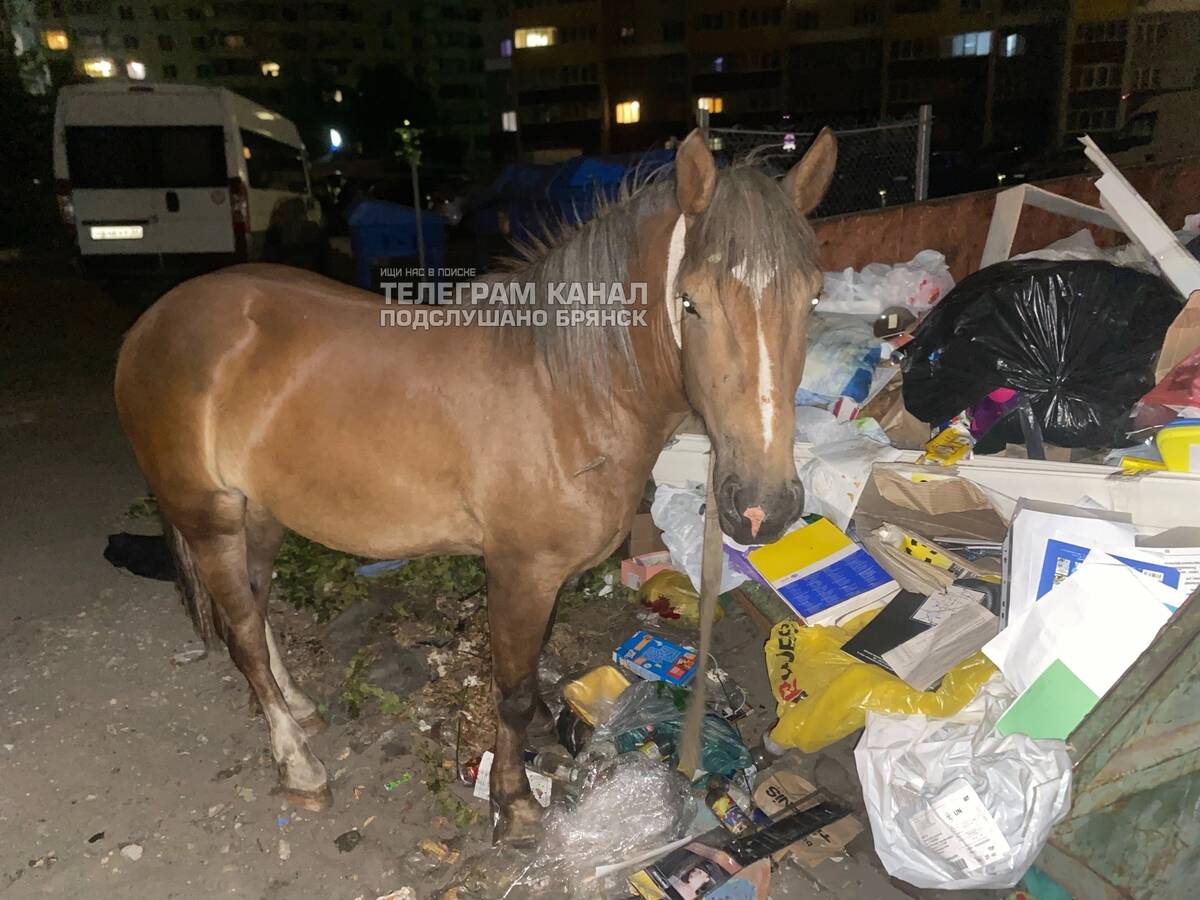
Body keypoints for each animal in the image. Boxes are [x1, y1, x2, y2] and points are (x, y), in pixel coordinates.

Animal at [117, 127, 840, 844]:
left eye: (812, 298)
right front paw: (513, 801)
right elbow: (511, 690)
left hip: (260, 513)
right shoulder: (520, 570)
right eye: (691, 300)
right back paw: (298, 763)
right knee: (240, 632)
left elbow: (534, 665)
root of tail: (155, 322)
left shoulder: (547, 577)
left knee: (255, 606)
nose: (762, 507)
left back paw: (294, 708)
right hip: (209, 518)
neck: (566, 389)